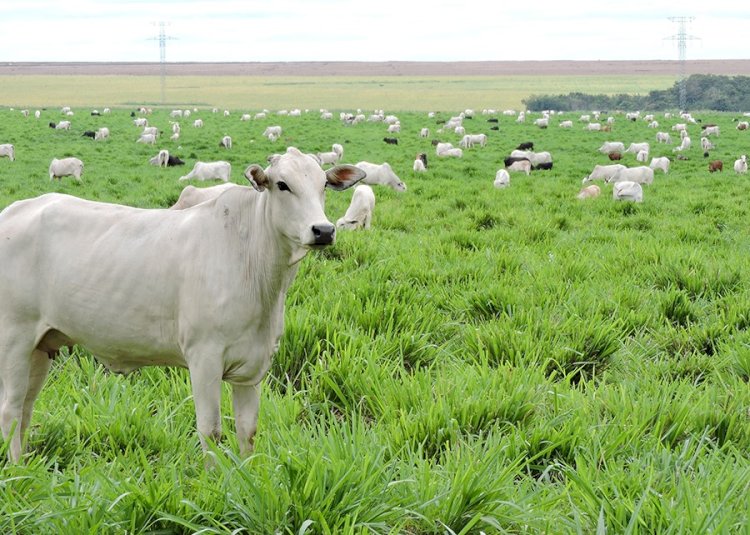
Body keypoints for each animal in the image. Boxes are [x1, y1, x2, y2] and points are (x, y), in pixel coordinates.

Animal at [0, 147, 368, 464]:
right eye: (282, 185)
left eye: (323, 185)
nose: (323, 230)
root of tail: (15, 209)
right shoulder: (204, 357)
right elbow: (211, 431)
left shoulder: (253, 366)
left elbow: (248, 431)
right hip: (15, 339)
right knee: (10, 409)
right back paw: (18, 468)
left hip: (41, 346)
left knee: (26, 407)